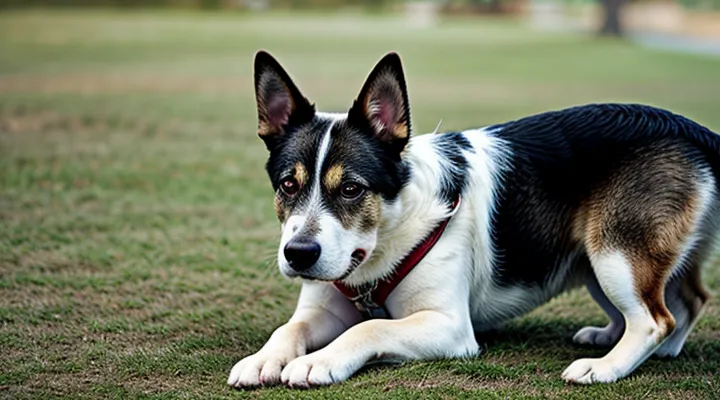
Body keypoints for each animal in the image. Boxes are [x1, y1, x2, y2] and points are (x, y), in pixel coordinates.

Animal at [228, 50, 716, 388]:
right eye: (288, 186)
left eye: (351, 189)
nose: (299, 254)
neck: (388, 236)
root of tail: (690, 129)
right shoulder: (321, 309)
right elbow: (289, 327)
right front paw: (263, 357)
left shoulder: (449, 327)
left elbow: (369, 326)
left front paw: (319, 360)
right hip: (598, 258)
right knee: (687, 299)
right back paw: (630, 342)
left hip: (614, 251)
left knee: (655, 318)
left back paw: (608, 366)